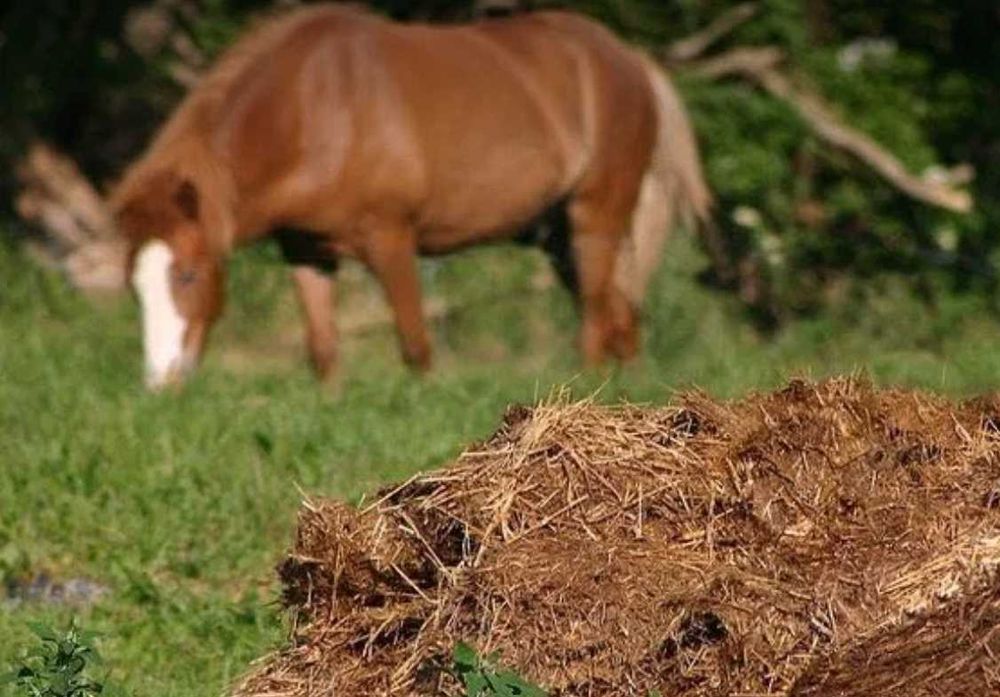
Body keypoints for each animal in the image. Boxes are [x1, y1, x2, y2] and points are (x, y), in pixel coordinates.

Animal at [112, 4, 711, 390]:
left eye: (188, 274)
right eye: (134, 287)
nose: (161, 381)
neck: (314, 109)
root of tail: (630, 58)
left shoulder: (392, 239)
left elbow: (416, 345)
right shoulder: (306, 251)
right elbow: (323, 350)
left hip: (596, 216)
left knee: (595, 317)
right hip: (558, 236)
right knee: (621, 316)